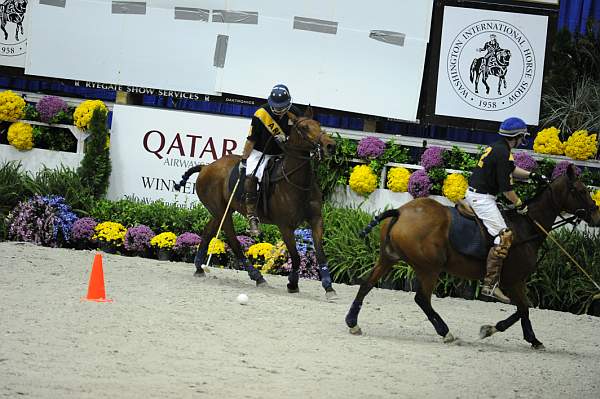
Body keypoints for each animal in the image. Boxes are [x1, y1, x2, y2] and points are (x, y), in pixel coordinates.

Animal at [175, 106, 342, 300]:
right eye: (304, 128)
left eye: (319, 124)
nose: (330, 145)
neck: (297, 183)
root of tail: (205, 167)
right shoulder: (285, 226)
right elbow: (296, 257)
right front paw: (292, 283)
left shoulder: (316, 220)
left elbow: (321, 254)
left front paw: (328, 287)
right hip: (222, 212)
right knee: (234, 241)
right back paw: (257, 276)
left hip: (222, 210)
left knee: (209, 231)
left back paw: (199, 267)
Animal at [346, 164, 600, 348]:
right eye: (581, 191)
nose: (596, 217)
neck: (527, 227)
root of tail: (399, 211)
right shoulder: (514, 280)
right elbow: (523, 308)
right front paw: (493, 330)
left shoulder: (516, 281)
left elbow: (524, 309)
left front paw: (532, 339)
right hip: (429, 268)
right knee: (422, 299)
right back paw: (446, 333)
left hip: (388, 258)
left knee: (366, 284)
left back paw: (352, 323)